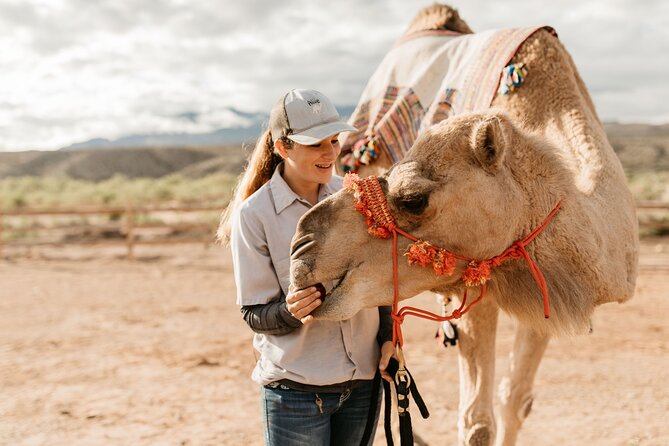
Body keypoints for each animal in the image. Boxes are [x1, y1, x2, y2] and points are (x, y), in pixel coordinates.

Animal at [289, 5, 639, 446]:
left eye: (413, 199)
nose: (301, 246)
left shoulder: (542, 284)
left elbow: (516, 399)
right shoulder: (474, 290)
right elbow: (477, 423)